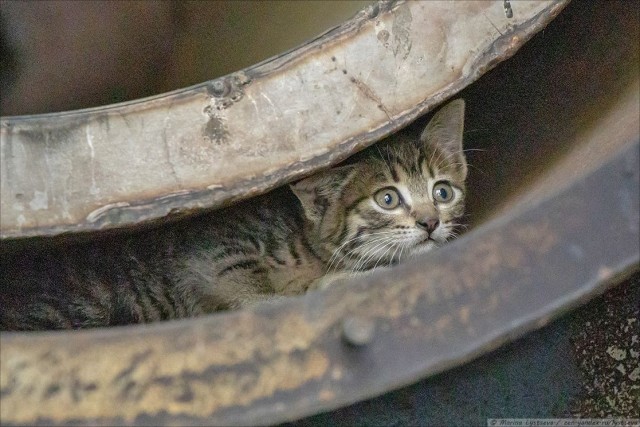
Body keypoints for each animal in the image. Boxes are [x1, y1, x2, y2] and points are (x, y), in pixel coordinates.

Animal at [1, 99, 470, 332]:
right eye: (387, 199)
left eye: (442, 192)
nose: (430, 222)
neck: (308, 251)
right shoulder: (211, 249)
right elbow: (245, 283)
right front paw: (317, 288)